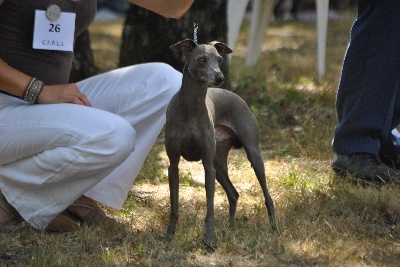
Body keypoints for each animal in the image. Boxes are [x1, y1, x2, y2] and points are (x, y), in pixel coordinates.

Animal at [165, 38, 276, 244]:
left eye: (219, 59)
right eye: (201, 59)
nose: (220, 78)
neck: (192, 108)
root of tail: (237, 96)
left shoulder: (207, 165)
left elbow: (210, 207)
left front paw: (209, 238)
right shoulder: (173, 164)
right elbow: (174, 205)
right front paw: (169, 235)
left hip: (252, 155)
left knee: (267, 197)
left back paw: (274, 229)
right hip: (219, 164)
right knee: (234, 194)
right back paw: (230, 228)